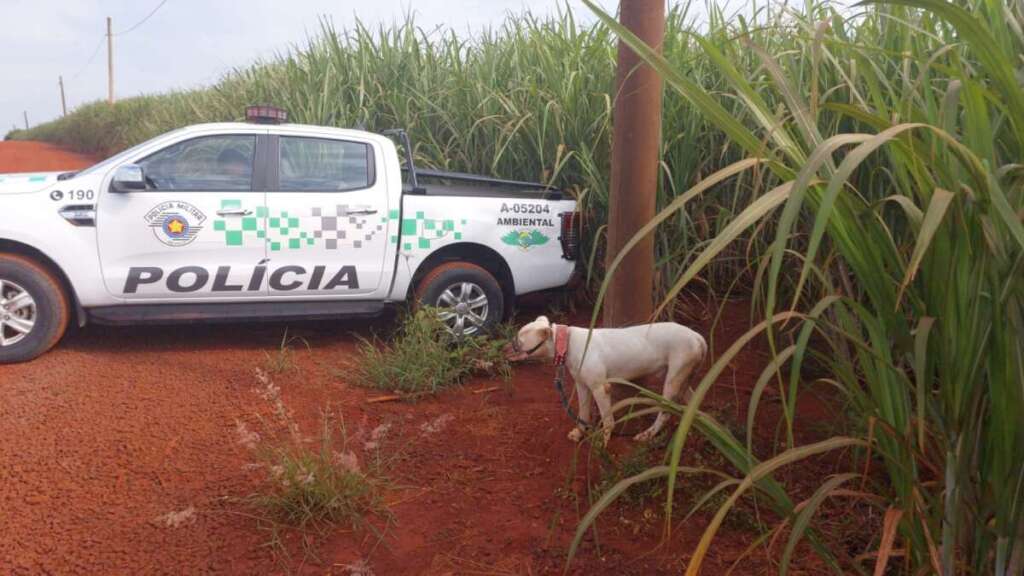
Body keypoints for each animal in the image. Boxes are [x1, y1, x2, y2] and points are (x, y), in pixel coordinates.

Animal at [507, 315, 708, 440]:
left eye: (518, 342)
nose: (504, 348)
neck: (567, 343)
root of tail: (697, 336)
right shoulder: (582, 386)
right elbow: (583, 413)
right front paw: (580, 433)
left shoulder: (600, 388)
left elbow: (607, 419)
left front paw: (603, 441)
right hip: (682, 378)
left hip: (672, 381)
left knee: (665, 413)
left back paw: (648, 434)